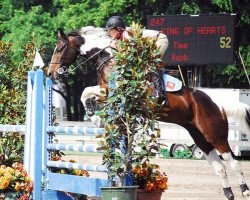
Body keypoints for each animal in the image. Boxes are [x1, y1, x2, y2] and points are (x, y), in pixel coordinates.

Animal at [47, 26, 250, 200]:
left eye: (60, 49)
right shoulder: (105, 90)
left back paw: (244, 190)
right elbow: (86, 93)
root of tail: (218, 105)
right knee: (219, 167)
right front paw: (93, 115)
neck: (110, 59)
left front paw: (95, 117)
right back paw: (229, 193)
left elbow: (86, 91)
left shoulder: (116, 91)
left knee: (233, 162)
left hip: (215, 135)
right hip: (200, 137)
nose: (51, 73)